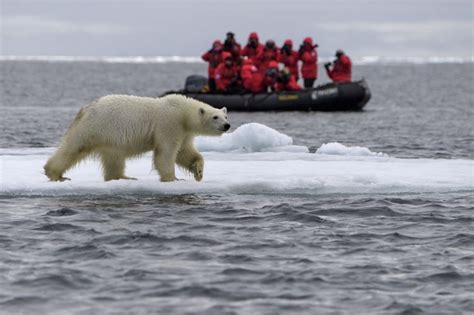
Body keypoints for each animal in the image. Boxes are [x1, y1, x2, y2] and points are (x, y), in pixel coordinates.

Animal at [43, 94, 231, 183]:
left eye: (225, 116)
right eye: (215, 117)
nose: (227, 126)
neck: (184, 113)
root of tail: (86, 108)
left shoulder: (184, 132)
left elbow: (185, 153)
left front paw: (198, 172)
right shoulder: (169, 123)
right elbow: (166, 153)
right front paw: (173, 178)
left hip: (110, 139)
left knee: (114, 159)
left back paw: (124, 177)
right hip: (95, 127)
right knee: (74, 147)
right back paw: (55, 174)